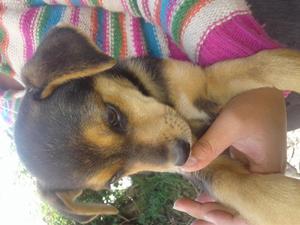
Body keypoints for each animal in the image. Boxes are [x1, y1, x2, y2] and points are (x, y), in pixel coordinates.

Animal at [14, 25, 300, 224]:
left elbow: (267, 65)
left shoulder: (206, 82)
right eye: (115, 178)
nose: (183, 155)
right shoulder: (212, 169)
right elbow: (253, 191)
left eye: (112, 116)